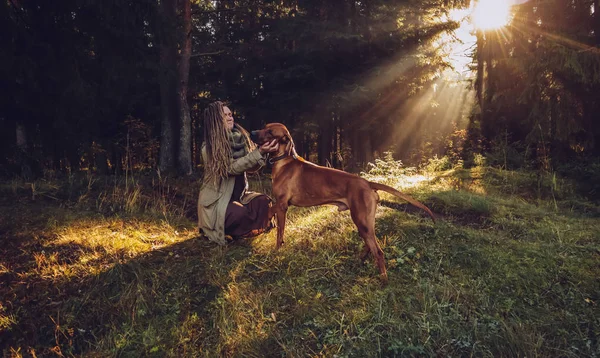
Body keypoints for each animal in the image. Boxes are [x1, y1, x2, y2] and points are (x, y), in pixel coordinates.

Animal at [251, 123, 434, 282]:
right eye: (264, 127)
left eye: (270, 132)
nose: (252, 132)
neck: (283, 162)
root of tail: (367, 183)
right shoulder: (284, 205)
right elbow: (271, 213)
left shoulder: (282, 205)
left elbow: (277, 227)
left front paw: (276, 248)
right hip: (365, 222)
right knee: (370, 245)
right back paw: (360, 260)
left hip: (361, 220)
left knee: (378, 252)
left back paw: (383, 279)